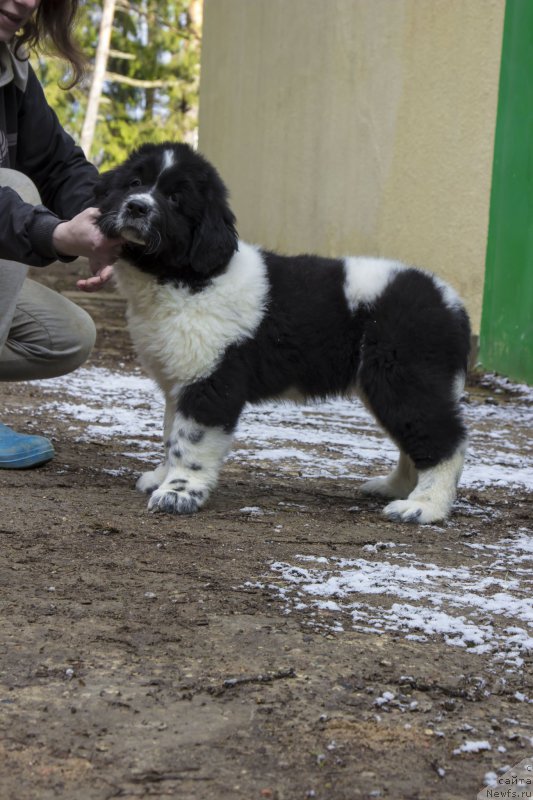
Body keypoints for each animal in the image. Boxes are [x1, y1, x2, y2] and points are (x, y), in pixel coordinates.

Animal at [96, 141, 470, 520]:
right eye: (134, 182)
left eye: (175, 199)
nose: (137, 206)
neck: (188, 279)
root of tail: (452, 303)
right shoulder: (179, 379)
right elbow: (171, 434)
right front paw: (162, 477)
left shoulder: (210, 381)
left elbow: (189, 442)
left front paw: (178, 492)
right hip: (386, 384)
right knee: (415, 440)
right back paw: (395, 488)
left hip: (403, 377)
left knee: (445, 442)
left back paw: (424, 506)